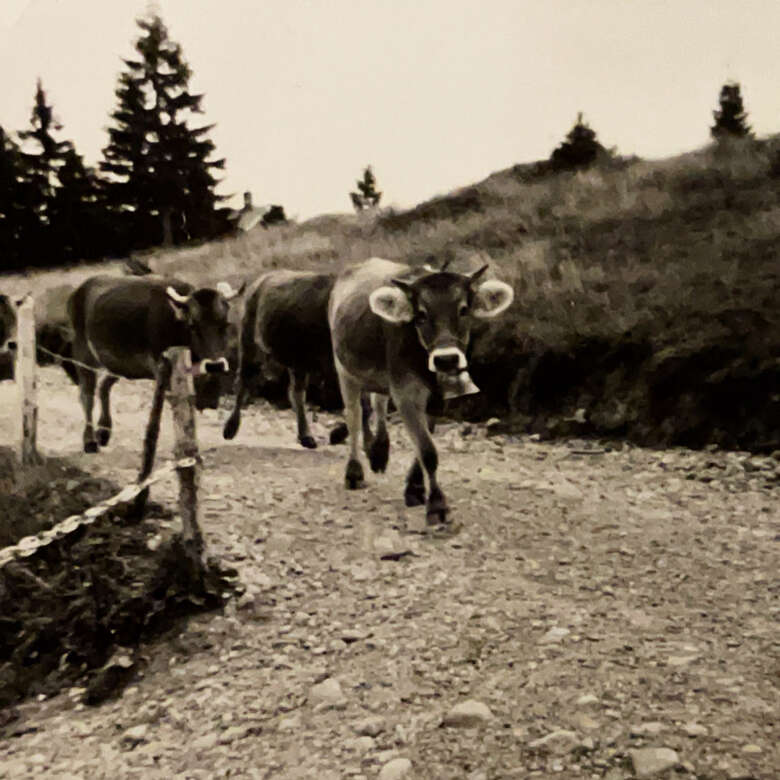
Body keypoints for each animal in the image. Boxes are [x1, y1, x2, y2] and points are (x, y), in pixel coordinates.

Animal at [68, 278, 239, 454]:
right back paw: (90, 441)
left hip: (119, 365)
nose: (215, 365)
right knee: (87, 396)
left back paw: (103, 431)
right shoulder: (162, 368)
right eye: (193, 325)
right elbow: (176, 402)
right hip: (82, 351)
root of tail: (82, 287)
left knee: (103, 387)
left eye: (225, 324)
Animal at [328, 258, 516, 524]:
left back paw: (379, 452)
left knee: (378, 403)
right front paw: (437, 505)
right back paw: (354, 471)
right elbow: (427, 450)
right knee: (354, 415)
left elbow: (424, 440)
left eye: (463, 309)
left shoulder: (437, 399)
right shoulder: (405, 392)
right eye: (421, 314)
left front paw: (415, 488)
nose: (446, 359)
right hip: (344, 370)